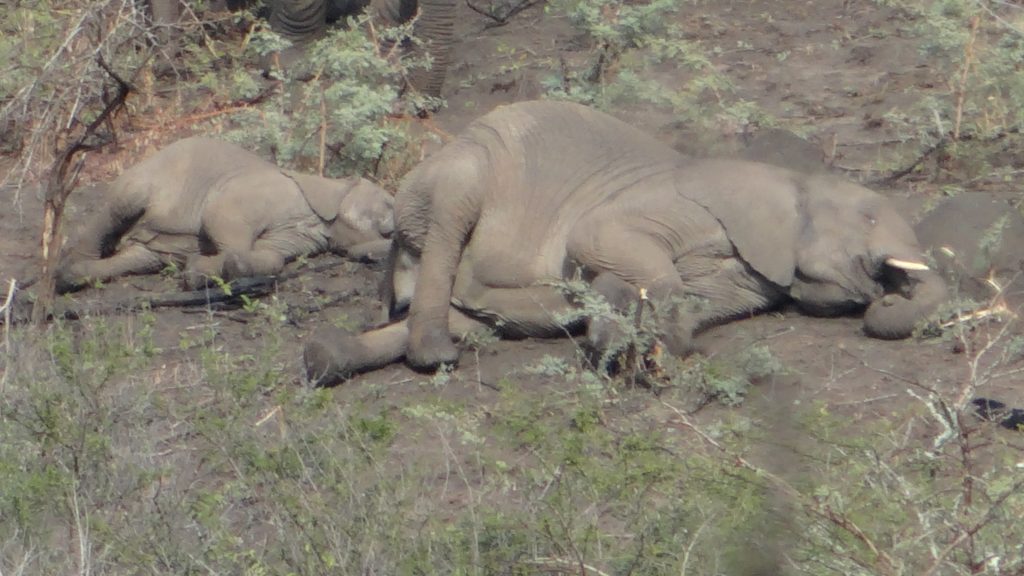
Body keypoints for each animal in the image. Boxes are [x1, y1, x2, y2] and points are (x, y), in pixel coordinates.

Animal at [55, 136, 395, 291]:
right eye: (390, 202)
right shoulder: (261, 192)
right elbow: (219, 217)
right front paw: (199, 269)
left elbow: (272, 254)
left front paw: (199, 269)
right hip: (140, 180)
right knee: (116, 209)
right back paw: (68, 268)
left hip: (147, 249)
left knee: (137, 258)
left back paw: (77, 274)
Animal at [299, 100, 946, 383]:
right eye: (868, 216)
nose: (891, 293)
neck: (787, 181)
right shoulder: (679, 204)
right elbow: (601, 236)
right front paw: (631, 340)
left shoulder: (751, 277)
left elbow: (701, 301)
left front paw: (640, 339)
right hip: (461, 169)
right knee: (449, 225)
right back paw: (434, 356)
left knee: (474, 318)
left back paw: (324, 358)